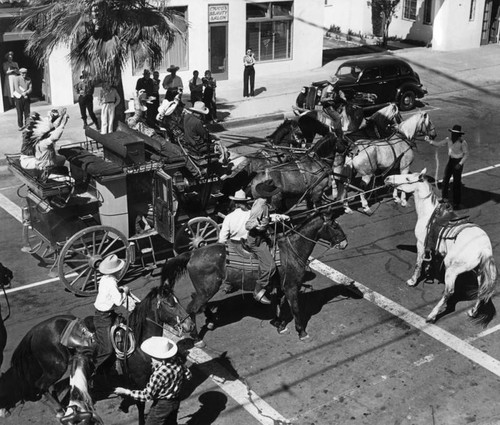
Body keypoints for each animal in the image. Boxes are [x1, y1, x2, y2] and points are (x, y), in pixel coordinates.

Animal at [0, 284, 195, 424]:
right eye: (170, 304)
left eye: (177, 300)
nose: (190, 325)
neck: (140, 342)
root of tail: (34, 331)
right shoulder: (139, 380)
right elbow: (140, 405)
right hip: (55, 367)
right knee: (41, 386)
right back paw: (60, 412)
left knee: (52, 388)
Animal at [160, 210, 348, 340]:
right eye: (335, 225)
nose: (345, 243)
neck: (291, 250)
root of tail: (192, 253)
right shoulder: (291, 286)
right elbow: (295, 308)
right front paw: (301, 332)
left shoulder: (281, 287)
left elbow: (280, 304)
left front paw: (279, 324)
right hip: (208, 289)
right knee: (192, 308)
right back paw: (197, 337)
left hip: (205, 289)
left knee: (197, 302)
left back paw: (211, 319)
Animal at [386, 169, 496, 322]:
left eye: (407, 178)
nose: (387, 178)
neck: (428, 213)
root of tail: (484, 249)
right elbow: (427, 262)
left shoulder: (421, 244)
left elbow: (418, 263)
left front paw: (412, 281)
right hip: (479, 272)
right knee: (481, 291)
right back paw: (473, 312)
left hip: (452, 271)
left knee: (449, 292)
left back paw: (432, 315)